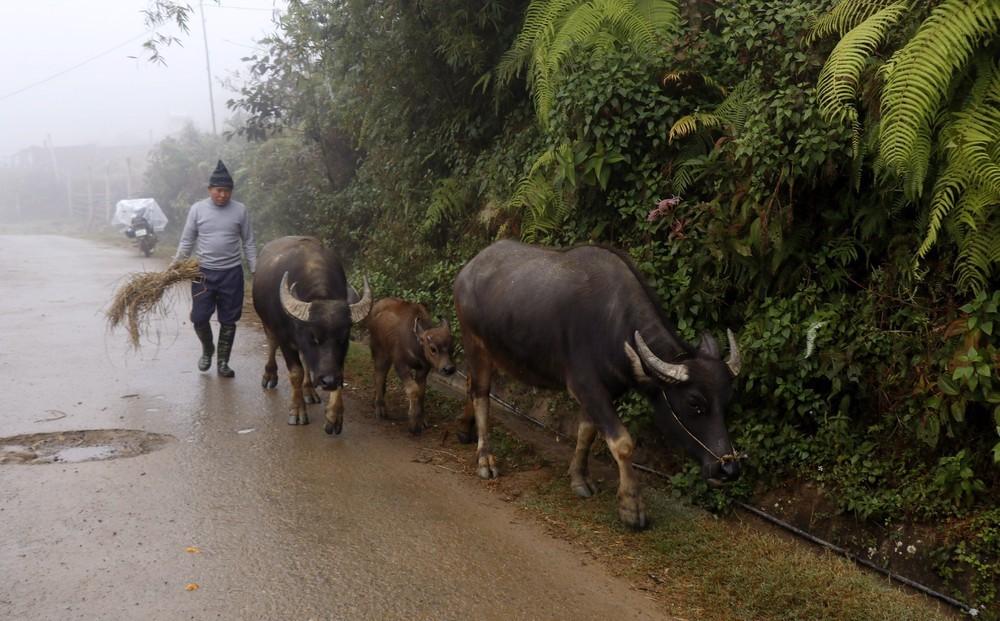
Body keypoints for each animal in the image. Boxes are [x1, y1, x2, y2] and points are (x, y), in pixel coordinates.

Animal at [252, 235, 374, 434]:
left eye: (343, 338)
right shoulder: (286, 340)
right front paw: (297, 410)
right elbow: (296, 372)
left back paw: (309, 390)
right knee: (271, 343)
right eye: (314, 336)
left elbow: (337, 370)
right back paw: (270, 376)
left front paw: (334, 414)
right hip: (267, 324)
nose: (328, 381)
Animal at [370, 296, 458, 434]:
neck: (415, 345)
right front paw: (413, 422)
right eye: (433, 349)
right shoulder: (401, 365)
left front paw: (421, 419)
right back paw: (380, 409)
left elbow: (421, 390)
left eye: (452, 347)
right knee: (379, 375)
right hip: (379, 351)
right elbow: (413, 389)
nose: (448, 369)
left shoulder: (423, 369)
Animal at [454, 240, 744, 524]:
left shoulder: (604, 392)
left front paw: (579, 478)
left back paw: (464, 429)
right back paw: (485, 461)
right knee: (481, 394)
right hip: (474, 342)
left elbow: (587, 433)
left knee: (470, 383)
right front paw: (632, 506)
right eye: (694, 402)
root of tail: (467, 270)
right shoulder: (586, 387)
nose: (728, 468)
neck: (614, 325)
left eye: (728, 400)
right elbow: (623, 443)